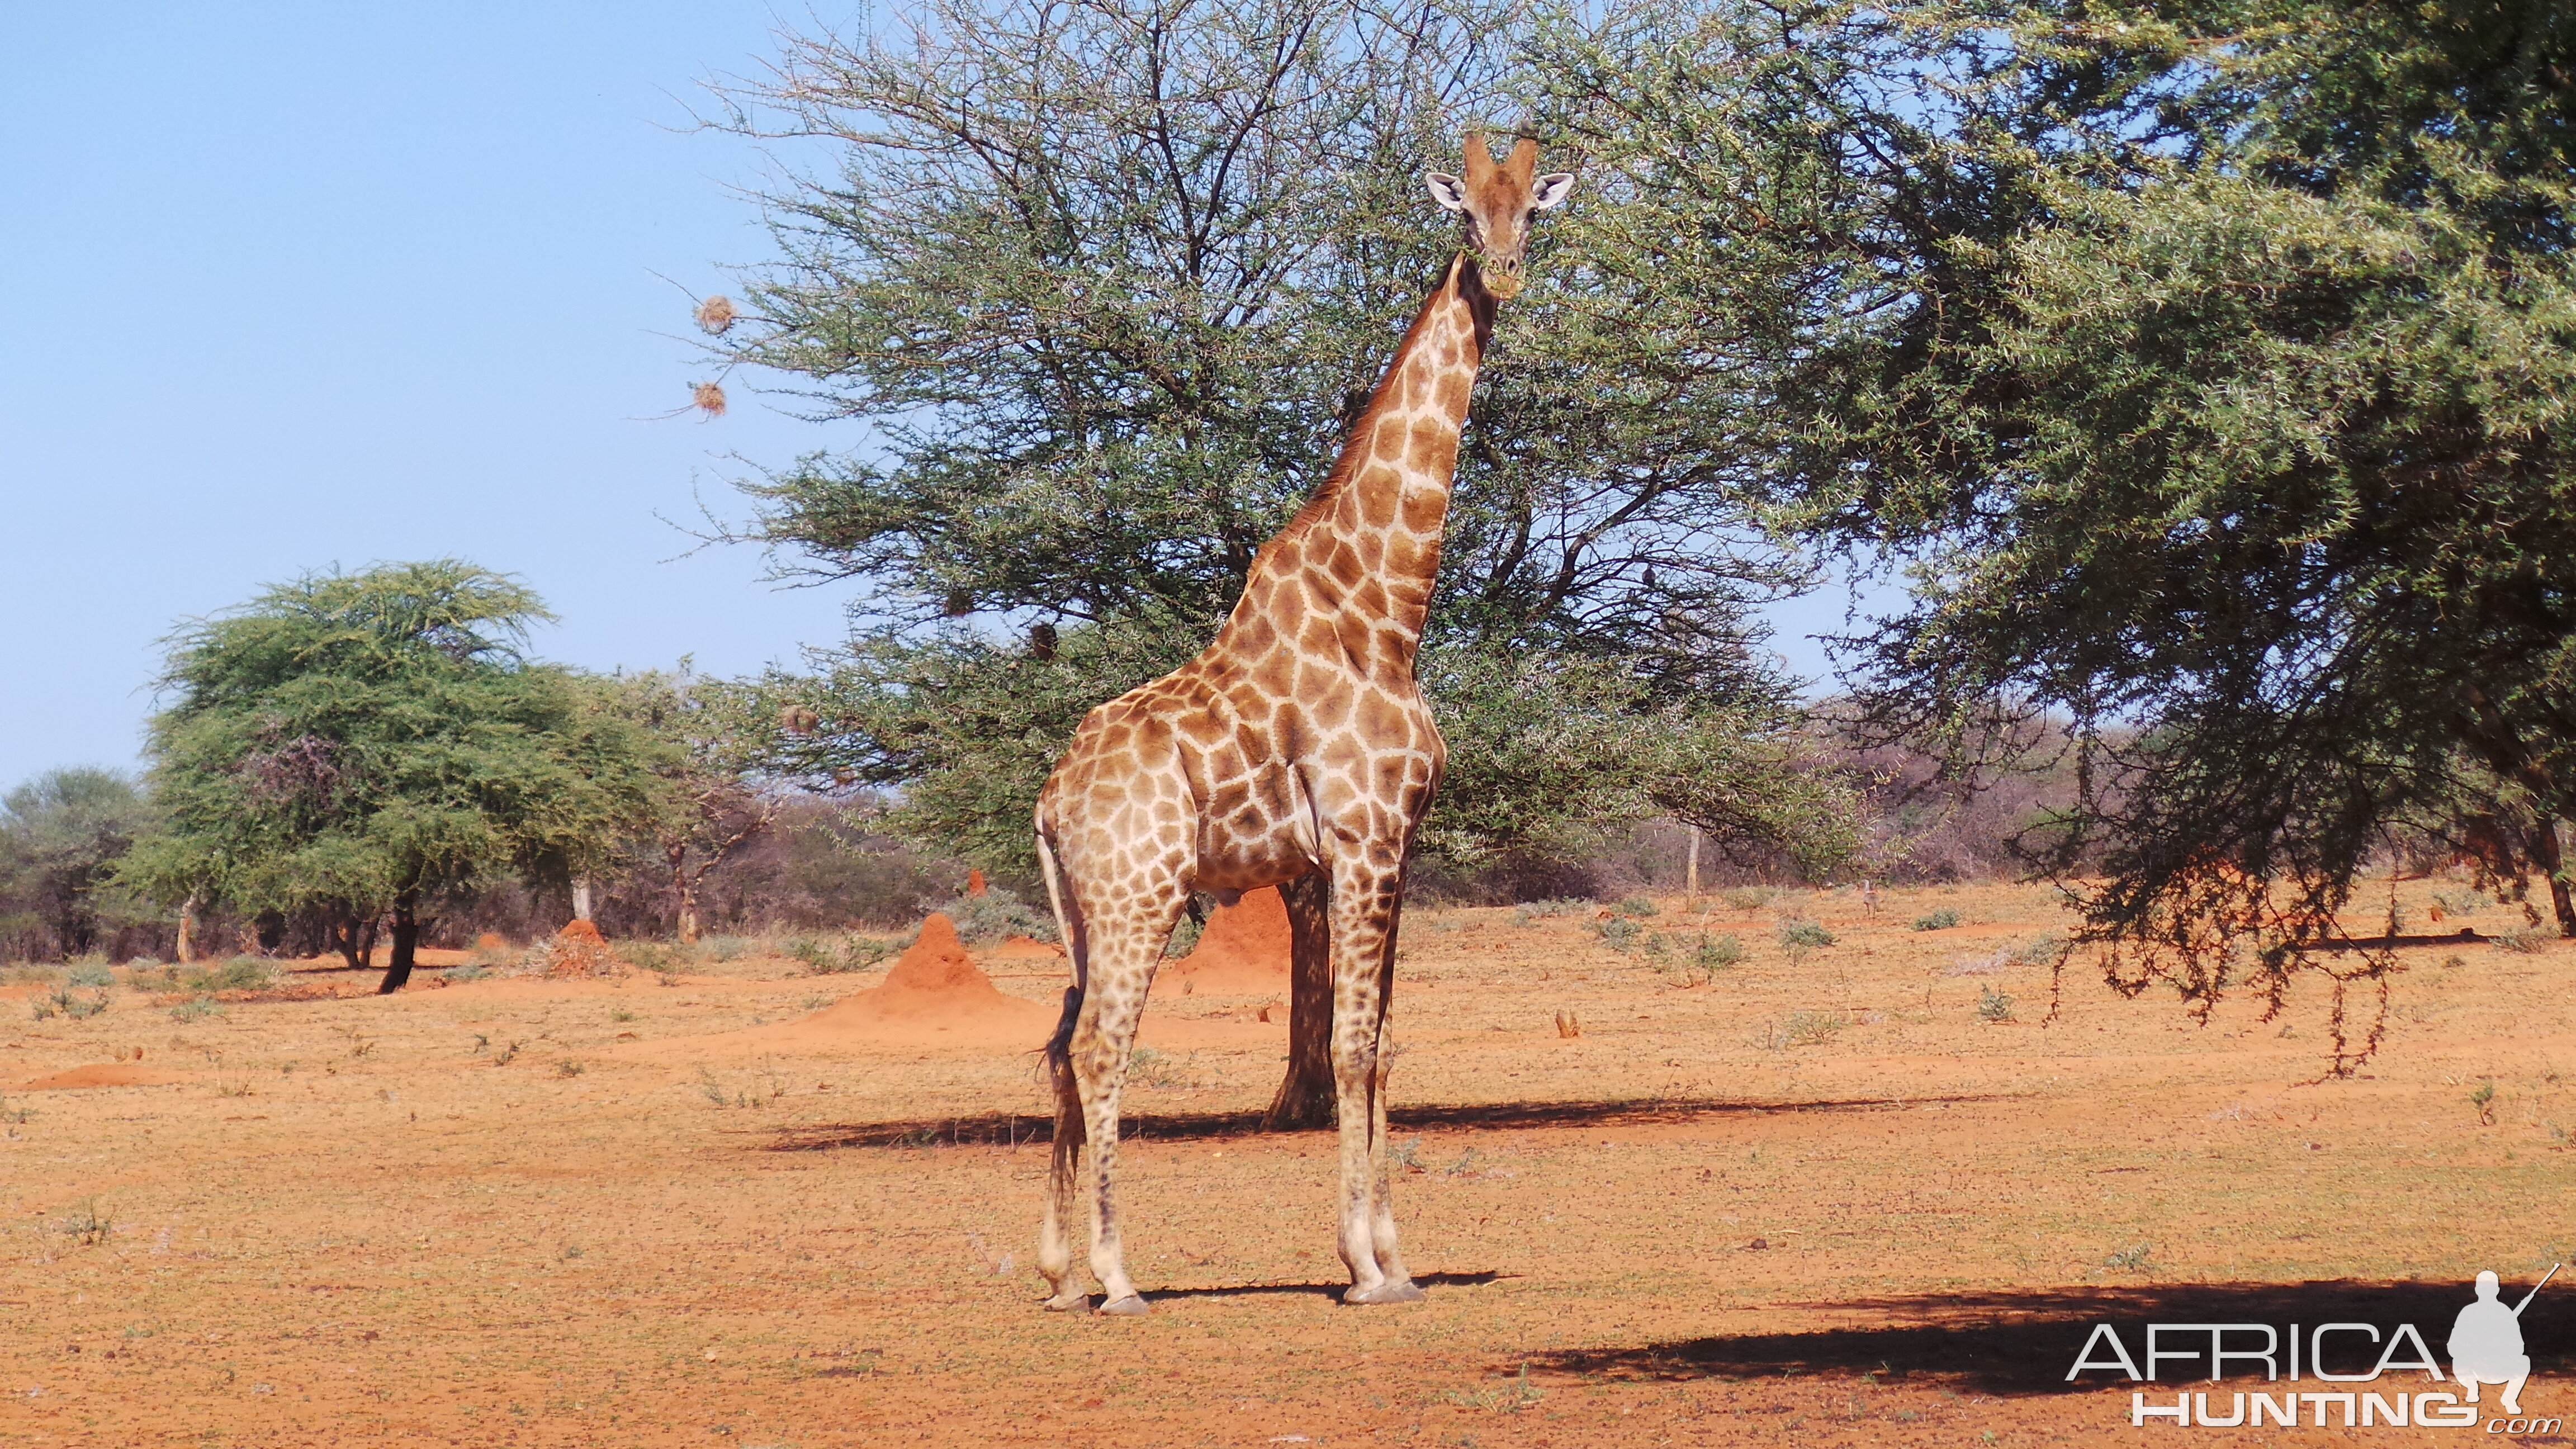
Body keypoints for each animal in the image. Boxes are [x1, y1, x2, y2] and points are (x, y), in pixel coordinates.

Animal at [1030, 132, 1566, 1309]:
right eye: (1466, 217)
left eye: (1532, 214)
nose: (1504, 276)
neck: (1386, 607)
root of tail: (1045, 802)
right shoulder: (1361, 840)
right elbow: (1356, 1045)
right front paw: (1365, 1267)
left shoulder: (1392, 844)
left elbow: (1388, 1043)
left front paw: (1394, 1257)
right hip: (1140, 896)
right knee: (1098, 1048)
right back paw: (1117, 1276)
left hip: (1083, 911)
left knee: (1054, 1042)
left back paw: (1055, 1272)